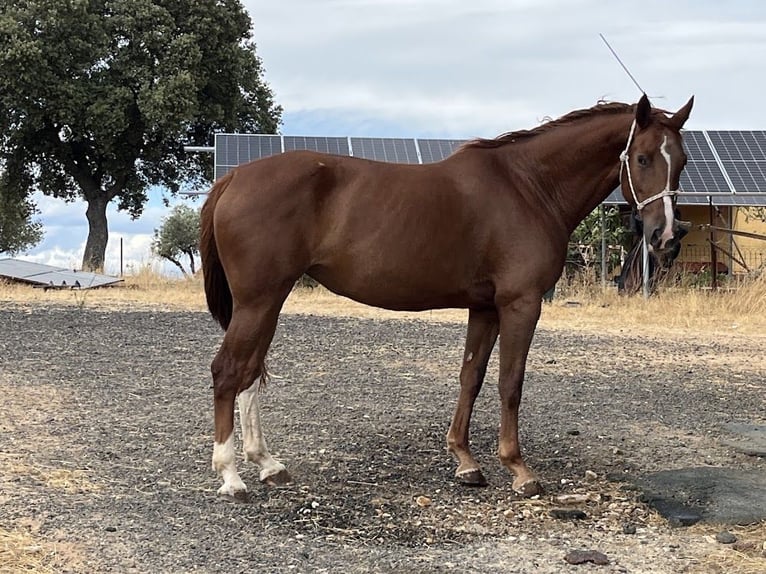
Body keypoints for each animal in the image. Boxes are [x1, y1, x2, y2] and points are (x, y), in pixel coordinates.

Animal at [200, 94, 694, 500]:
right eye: (643, 158)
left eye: (683, 161)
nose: (666, 236)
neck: (528, 187)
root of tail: (234, 179)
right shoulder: (520, 304)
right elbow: (510, 383)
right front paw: (519, 469)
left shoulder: (485, 307)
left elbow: (470, 377)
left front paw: (466, 462)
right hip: (259, 301)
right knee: (228, 371)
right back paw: (231, 476)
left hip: (268, 301)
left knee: (249, 375)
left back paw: (267, 464)